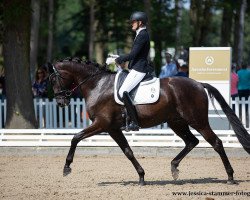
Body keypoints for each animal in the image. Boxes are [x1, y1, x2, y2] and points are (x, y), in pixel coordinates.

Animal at [49, 57, 250, 185]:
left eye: (54, 79)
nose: (60, 102)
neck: (97, 85)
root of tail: (199, 84)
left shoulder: (102, 124)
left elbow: (75, 137)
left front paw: (66, 167)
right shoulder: (113, 129)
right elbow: (128, 152)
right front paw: (141, 177)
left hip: (197, 120)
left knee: (216, 142)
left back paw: (230, 177)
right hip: (176, 122)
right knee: (192, 141)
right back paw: (174, 168)